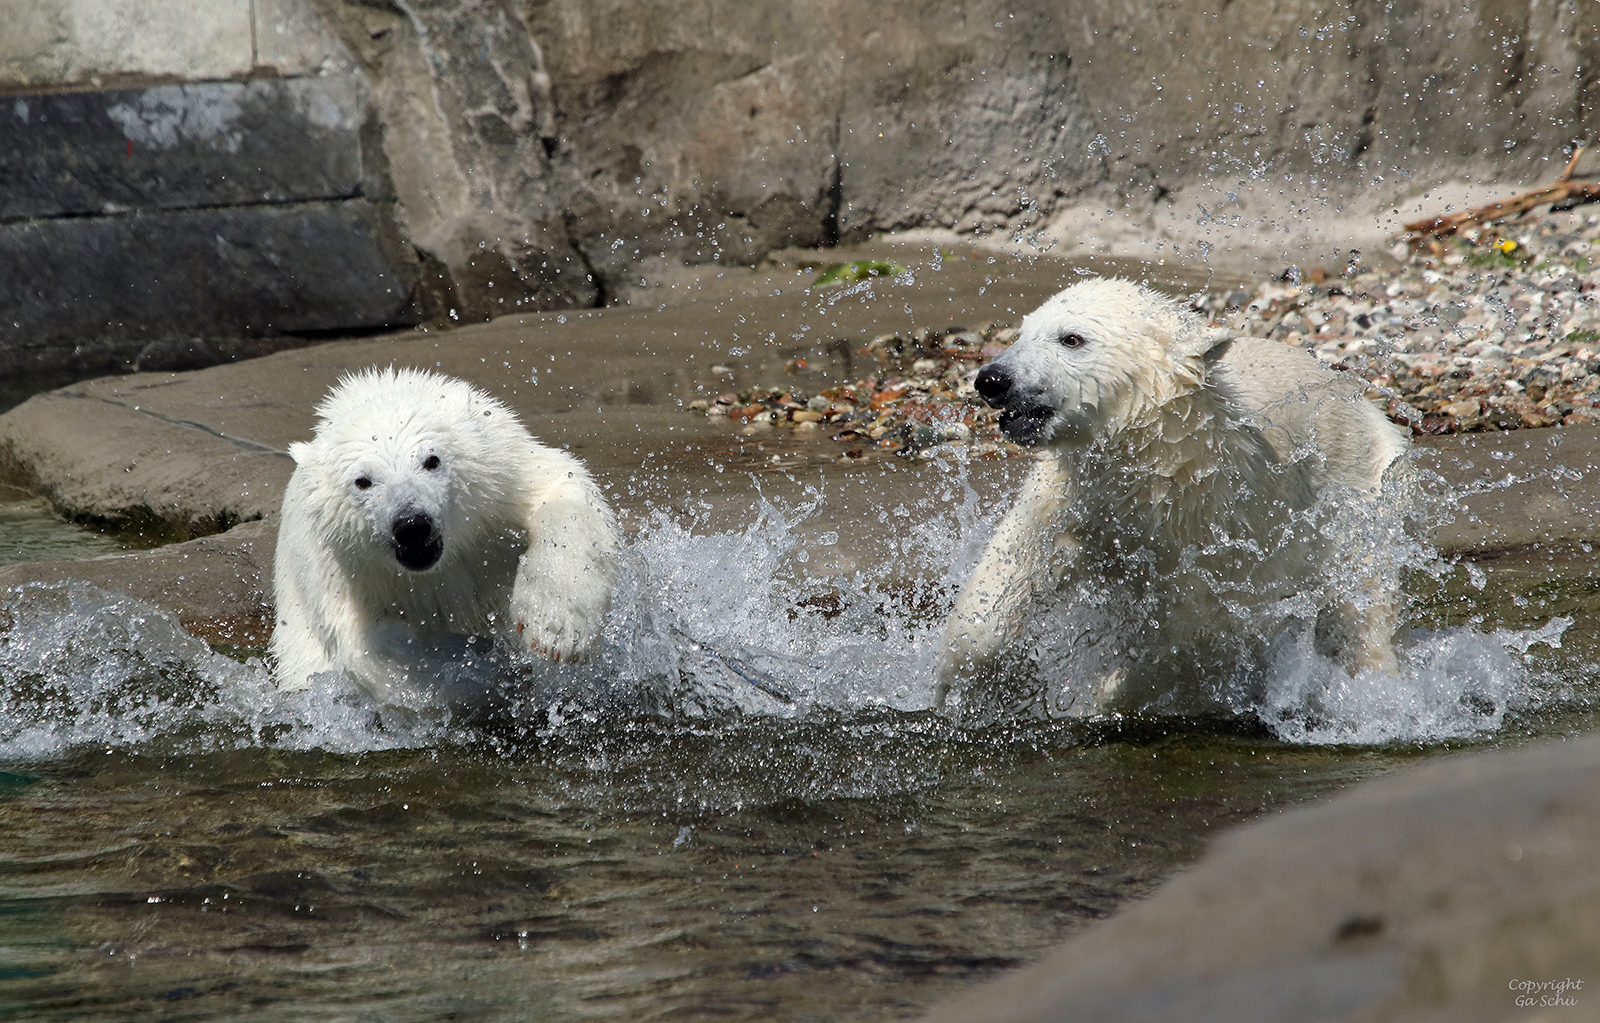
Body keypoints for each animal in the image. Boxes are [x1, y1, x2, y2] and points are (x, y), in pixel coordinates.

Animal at [268, 365, 617, 701]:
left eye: (431, 460)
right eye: (362, 480)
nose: (412, 526)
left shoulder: (501, 473)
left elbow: (560, 489)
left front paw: (556, 628)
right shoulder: (338, 564)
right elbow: (367, 648)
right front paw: (485, 666)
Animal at [934, 275, 1414, 717]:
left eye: (1071, 338)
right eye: (1023, 332)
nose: (992, 379)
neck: (1157, 455)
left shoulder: (1219, 526)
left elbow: (1192, 631)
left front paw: (1097, 698)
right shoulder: (1080, 495)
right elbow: (1020, 557)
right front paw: (956, 682)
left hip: (1362, 495)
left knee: (1362, 605)